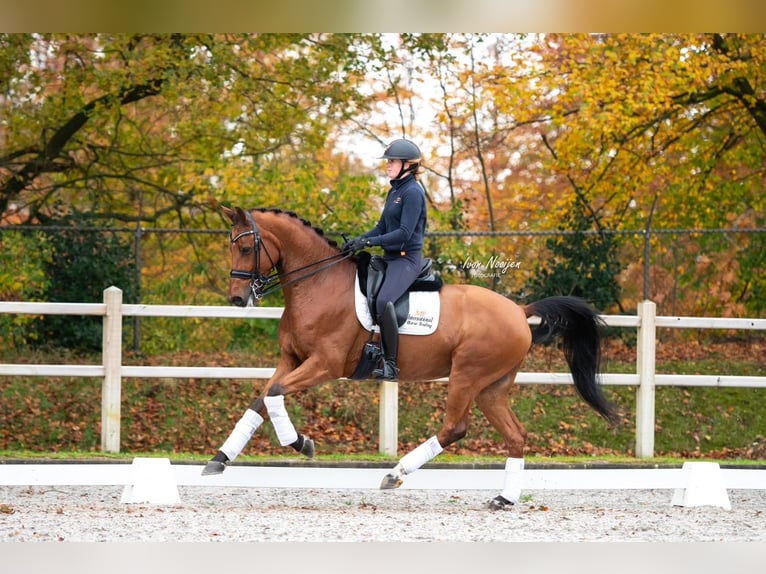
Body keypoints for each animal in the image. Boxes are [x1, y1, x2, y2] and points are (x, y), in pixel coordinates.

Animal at [201, 205, 620, 510]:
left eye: (245, 247)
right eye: (231, 245)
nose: (238, 298)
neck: (318, 284)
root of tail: (519, 311)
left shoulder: (325, 365)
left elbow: (274, 396)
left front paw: (301, 443)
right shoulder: (291, 359)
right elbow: (261, 401)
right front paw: (219, 459)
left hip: (467, 374)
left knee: (455, 428)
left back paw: (396, 473)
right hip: (492, 386)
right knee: (515, 434)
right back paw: (503, 498)